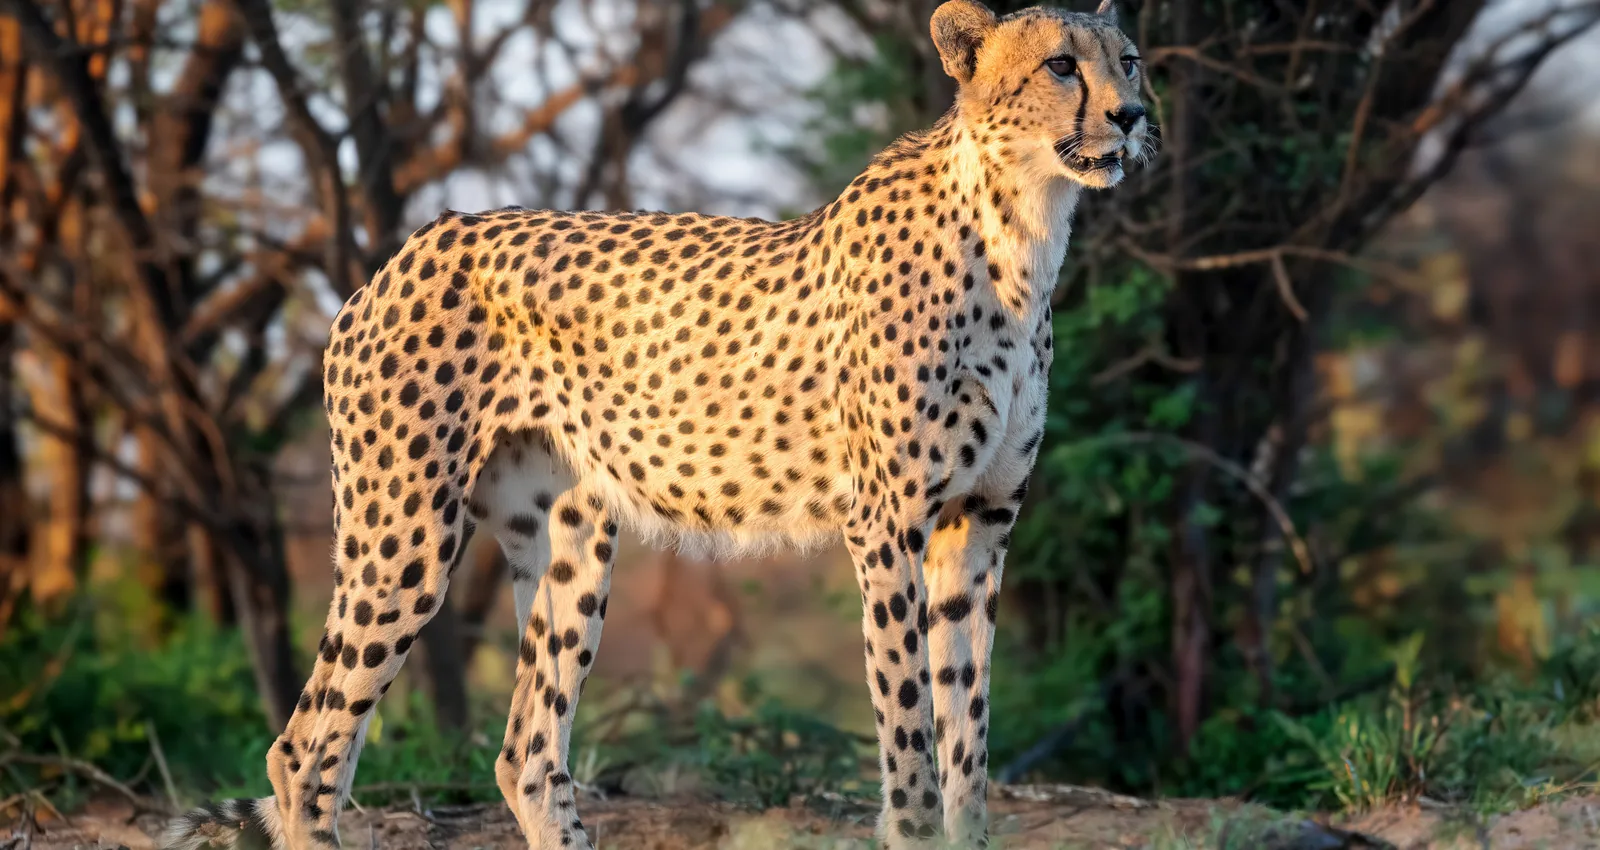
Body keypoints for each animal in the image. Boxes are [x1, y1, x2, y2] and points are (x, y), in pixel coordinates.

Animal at [160, 1, 1152, 847]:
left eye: (1130, 60)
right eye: (1062, 65)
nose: (1136, 115)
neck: (1022, 229)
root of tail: (409, 246)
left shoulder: (979, 523)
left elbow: (967, 728)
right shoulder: (889, 524)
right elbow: (909, 724)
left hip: (570, 542)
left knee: (525, 755)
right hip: (402, 535)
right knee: (306, 749)